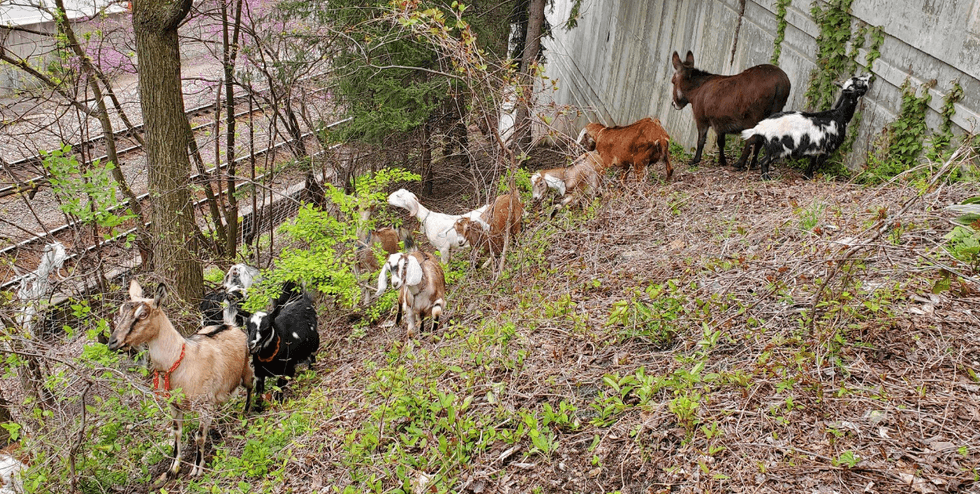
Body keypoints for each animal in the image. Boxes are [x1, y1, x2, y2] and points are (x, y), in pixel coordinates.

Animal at [108, 281, 253, 482]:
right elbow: (177, 433)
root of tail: (230, 325)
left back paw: (246, 411)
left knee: (251, 386)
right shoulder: (174, 406)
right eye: (121, 311)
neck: (180, 361)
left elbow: (199, 436)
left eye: (143, 314)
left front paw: (196, 470)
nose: (112, 342)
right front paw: (172, 469)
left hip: (246, 368)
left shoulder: (203, 405)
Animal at [245, 281, 319, 410]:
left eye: (266, 327)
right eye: (247, 327)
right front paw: (258, 409)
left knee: (312, 356)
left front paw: (278, 403)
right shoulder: (259, 373)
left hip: (314, 343)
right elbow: (259, 393)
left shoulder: (287, 371)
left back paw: (311, 371)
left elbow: (279, 388)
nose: (252, 345)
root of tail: (304, 300)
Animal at [741, 74, 872, 180]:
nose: (869, 75)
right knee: (764, 162)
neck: (839, 116)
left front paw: (807, 176)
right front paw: (812, 175)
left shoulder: (815, 148)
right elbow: (817, 163)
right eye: (860, 83)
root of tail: (760, 127)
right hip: (779, 149)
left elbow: (812, 161)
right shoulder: (828, 149)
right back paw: (766, 178)